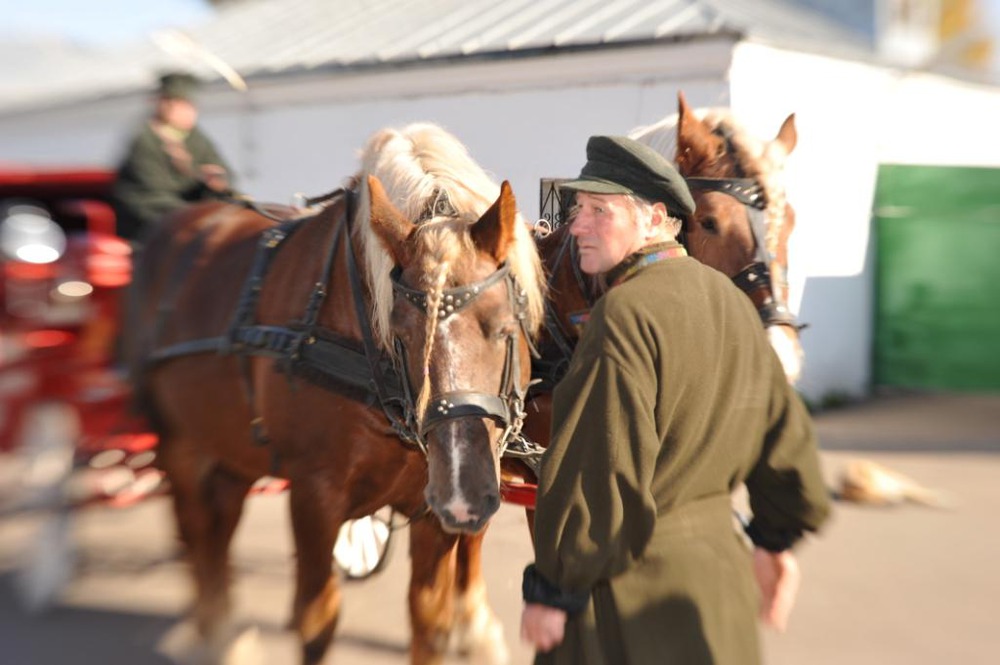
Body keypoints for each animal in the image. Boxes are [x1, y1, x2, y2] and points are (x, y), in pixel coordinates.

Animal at [128, 124, 548, 664]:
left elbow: (430, 620)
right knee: (195, 529)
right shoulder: (313, 493)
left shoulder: (430, 510)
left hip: (231, 448)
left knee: (220, 523)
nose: (464, 495)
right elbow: (317, 619)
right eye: (401, 336)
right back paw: (216, 632)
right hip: (179, 443)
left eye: (504, 328)